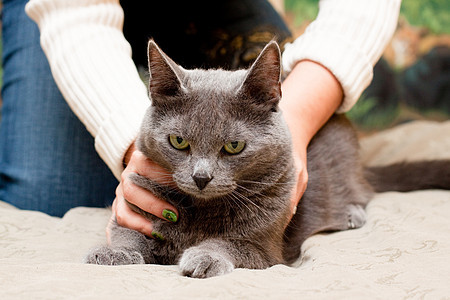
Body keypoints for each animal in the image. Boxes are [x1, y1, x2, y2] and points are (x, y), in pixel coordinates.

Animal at [85, 41, 450, 278]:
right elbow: (126, 231)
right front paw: (113, 252)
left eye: (233, 146)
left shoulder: (266, 249)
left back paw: (351, 214)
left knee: (361, 191)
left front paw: (204, 256)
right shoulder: (136, 202)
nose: (201, 177)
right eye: (178, 142)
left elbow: (232, 244)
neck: (201, 211)